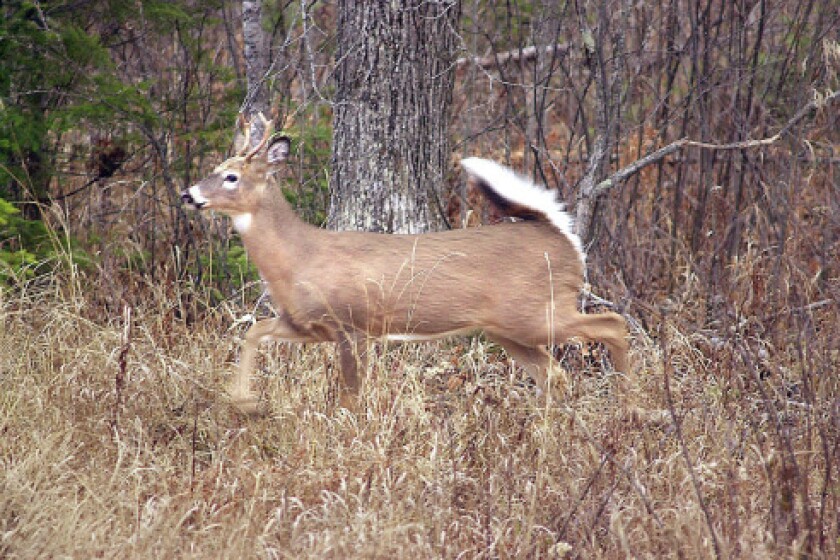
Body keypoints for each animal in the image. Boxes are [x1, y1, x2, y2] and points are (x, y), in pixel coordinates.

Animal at [181, 114, 629, 414]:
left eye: (232, 177)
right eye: (216, 169)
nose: (188, 194)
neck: (299, 258)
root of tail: (562, 237)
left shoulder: (352, 323)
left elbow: (350, 395)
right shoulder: (306, 324)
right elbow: (253, 332)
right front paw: (245, 403)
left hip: (536, 312)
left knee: (613, 324)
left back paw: (629, 401)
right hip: (506, 329)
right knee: (555, 373)